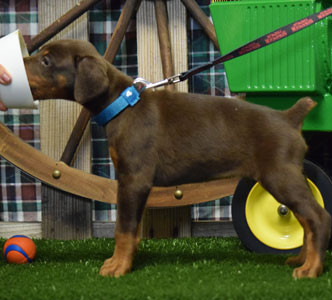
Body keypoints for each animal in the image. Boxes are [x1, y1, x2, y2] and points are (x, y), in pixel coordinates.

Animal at [23, 39, 330, 278]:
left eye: (46, 60)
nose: (19, 61)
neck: (121, 104)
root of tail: (289, 117)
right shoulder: (135, 184)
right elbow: (132, 230)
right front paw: (123, 261)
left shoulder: (133, 180)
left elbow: (123, 229)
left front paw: (117, 267)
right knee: (305, 219)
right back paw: (301, 259)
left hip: (280, 176)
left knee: (317, 216)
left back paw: (311, 269)